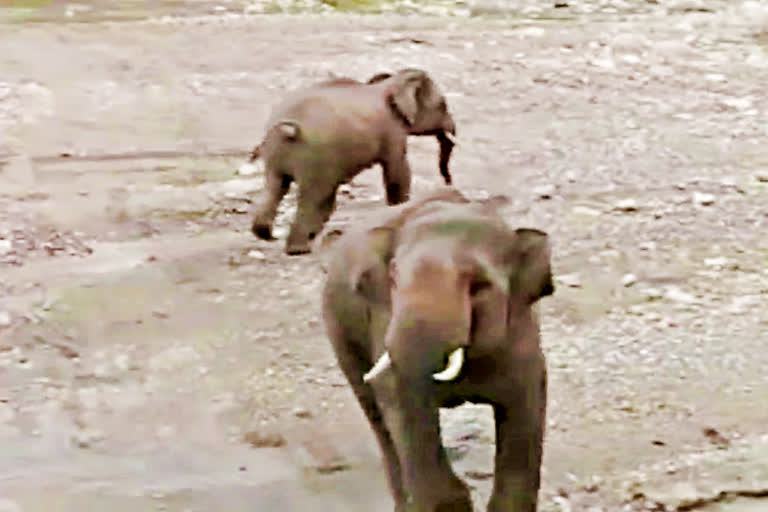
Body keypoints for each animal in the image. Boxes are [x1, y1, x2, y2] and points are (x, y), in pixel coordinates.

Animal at [246, 68, 456, 256]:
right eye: (443, 105)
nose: (448, 182)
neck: (390, 82)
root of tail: (287, 126)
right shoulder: (392, 131)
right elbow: (398, 171)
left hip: (277, 153)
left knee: (277, 187)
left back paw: (268, 235)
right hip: (315, 156)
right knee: (313, 196)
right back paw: (299, 249)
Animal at [320, 190, 556, 510]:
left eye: (479, 285)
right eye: (393, 278)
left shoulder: (522, 334)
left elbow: (524, 407)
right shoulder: (383, 320)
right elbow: (401, 403)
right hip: (340, 329)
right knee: (378, 418)